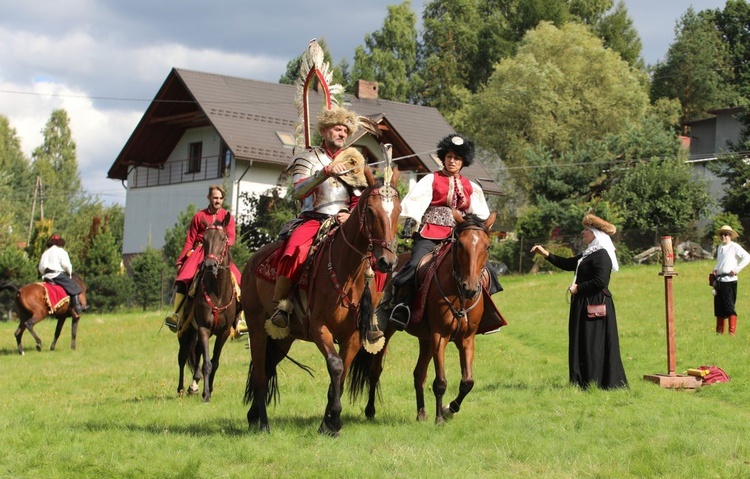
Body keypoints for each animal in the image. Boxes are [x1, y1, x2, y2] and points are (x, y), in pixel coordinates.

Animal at [177, 213, 238, 402]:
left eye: (223, 238)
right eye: (204, 239)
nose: (211, 264)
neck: (217, 293)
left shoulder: (223, 332)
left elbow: (214, 362)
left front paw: (208, 388)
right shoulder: (203, 328)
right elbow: (207, 363)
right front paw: (206, 394)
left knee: (195, 353)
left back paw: (194, 385)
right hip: (186, 330)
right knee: (182, 357)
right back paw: (181, 389)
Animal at [244, 165, 402, 436]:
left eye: (399, 211)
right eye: (371, 211)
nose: (387, 262)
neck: (346, 271)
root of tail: (251, 261)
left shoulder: (353, 336)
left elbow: (342, 373)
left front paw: (327, 423)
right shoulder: (319, 328)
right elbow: (335, 365)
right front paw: (334, 420)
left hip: (283, 337)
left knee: (268, 366)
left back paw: (254, 415)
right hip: (256, 328)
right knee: (261, 374)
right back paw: (263, 423)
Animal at [356, 212, 502, 426]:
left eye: (487, 246)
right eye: (460, 245)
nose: (470, 288)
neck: (459, 295)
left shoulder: (467, 339)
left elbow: (467, 382)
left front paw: (449, 409)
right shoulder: (439, 336)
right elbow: (440, 382)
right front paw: (440, 417)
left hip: (425, 339)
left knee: (419, 374)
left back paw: (421, 413)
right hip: (389, 331)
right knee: (375, 371)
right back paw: (370, 410)